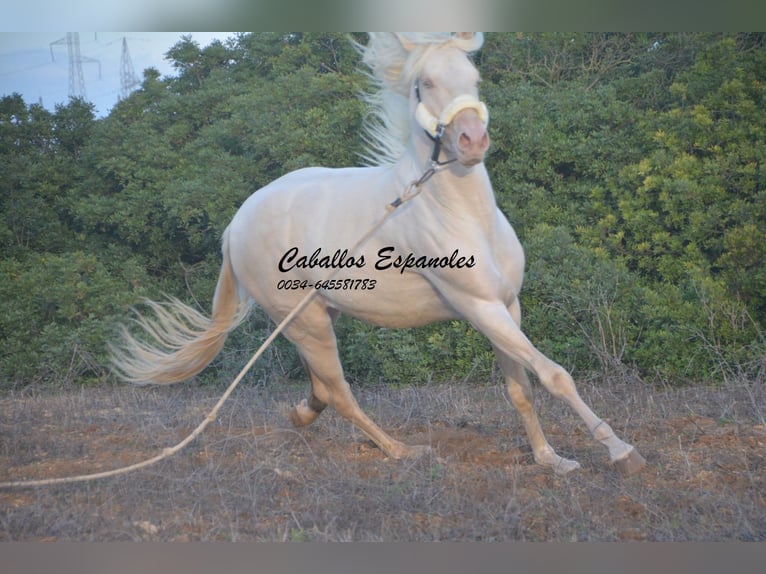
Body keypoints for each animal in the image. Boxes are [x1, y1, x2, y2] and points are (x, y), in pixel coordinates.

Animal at [114, 33, 648, 480]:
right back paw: (402, 451)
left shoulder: (507, 307)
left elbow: (521, 388)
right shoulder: (479, 309)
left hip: (314, 315)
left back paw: (302, 415)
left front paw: (551, 459)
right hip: (305, 321)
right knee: (341, 393)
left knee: (321, 388)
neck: (462, 213)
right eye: (423, 83)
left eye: (474, 78)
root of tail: (237, 223)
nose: (473, 142)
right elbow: (555, 375)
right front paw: (620, 451)